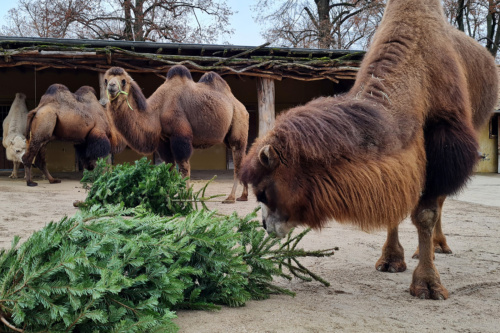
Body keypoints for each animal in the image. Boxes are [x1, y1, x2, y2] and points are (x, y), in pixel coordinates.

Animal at [104, 63, 250, 201]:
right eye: (106, 80)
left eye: (123, 81)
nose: (111, 86)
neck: (158, 111)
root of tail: (241, 106)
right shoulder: (163, 140)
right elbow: (169, 166)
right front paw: (169, 195)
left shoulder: (180, 135)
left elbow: (184, 167)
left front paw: (186, 196)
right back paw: (243, 196)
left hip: (238, 124)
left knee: (238, 160)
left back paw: (231, 197)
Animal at [238, 0, 496, 300]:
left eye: (263, 190)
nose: (266, 226)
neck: (418, 69)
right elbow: (396, 204)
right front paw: (391, 260)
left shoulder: (445, 146)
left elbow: (426, 213)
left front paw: (428, 284)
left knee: (440, 202)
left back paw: (437, 246)